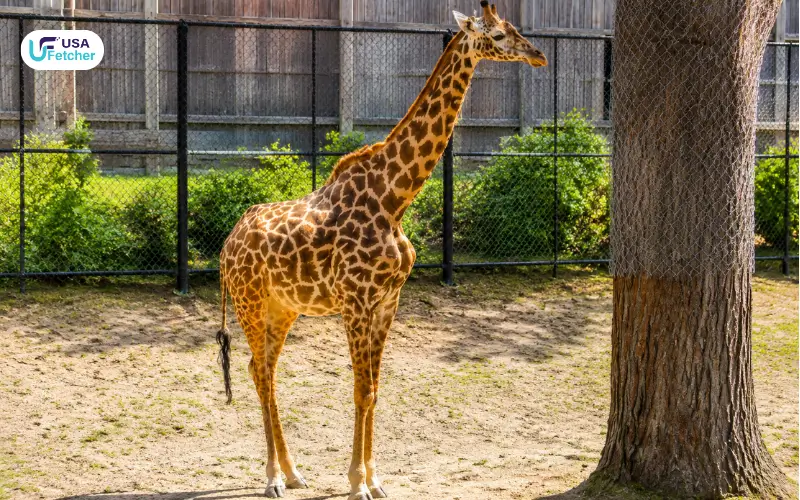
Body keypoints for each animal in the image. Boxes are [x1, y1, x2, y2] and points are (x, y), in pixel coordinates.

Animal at [216, 3, 547, 499]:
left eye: (514, 28)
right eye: (499, 35)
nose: (539, 55)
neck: (394, 198)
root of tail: (226, 245)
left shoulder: (388, 300)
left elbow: (374, 389)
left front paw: (374, 479)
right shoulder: (355, 301)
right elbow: (359, 390)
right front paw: (357, 483)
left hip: (283, 307)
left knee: (262, 368)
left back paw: (293, 472)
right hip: (249, 302)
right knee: (261, 372)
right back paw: (272, 477)